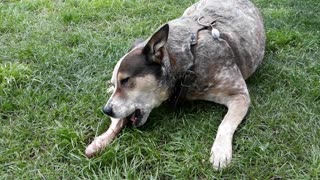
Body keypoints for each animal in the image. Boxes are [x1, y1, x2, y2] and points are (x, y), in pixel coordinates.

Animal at [85, 0, 264, 170]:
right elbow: (118, 120)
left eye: (126, 80)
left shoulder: (239, 95)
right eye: (118, 82)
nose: (106, 110)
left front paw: (220, 151)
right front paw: (101, 140)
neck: (187, 59)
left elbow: (225, 124)